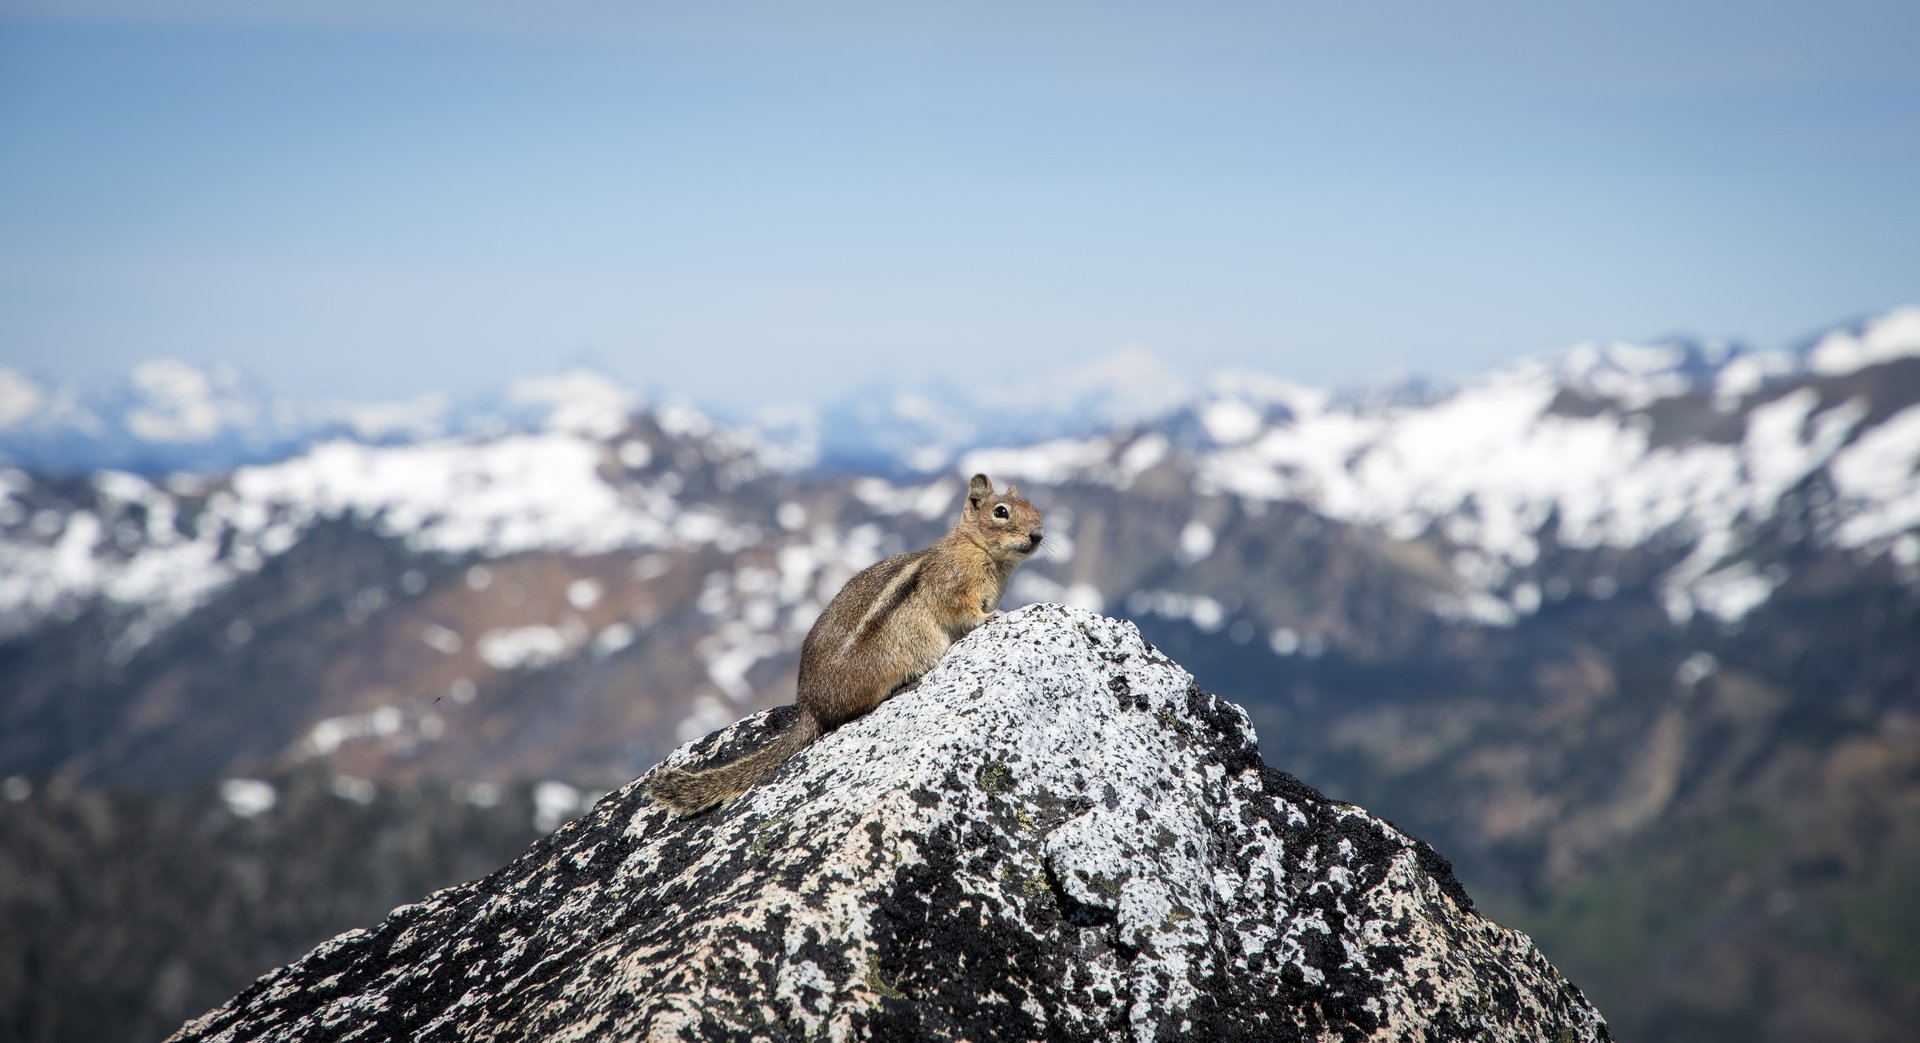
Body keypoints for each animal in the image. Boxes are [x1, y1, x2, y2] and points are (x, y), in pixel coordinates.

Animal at [647, 473, 1045, 816]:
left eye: (1031, 504)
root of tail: (809, 707)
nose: (1039, 534)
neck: (975, 548)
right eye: (1001, 511)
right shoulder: (955, 588)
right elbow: (964, 611)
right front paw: (992, 617)